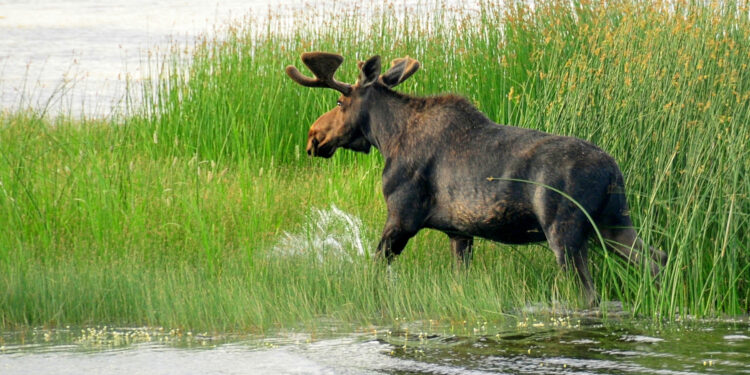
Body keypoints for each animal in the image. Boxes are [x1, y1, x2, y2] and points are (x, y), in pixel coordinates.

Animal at [286, 52, 668, 306]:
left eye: (340, 101)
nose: (313, 136)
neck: (388, 138)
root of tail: (613, 170)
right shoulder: (460, 232)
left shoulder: (402, 218)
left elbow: (375, 268)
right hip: (613, 224)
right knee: (657, 260)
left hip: (566, 232)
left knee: (590, 295)